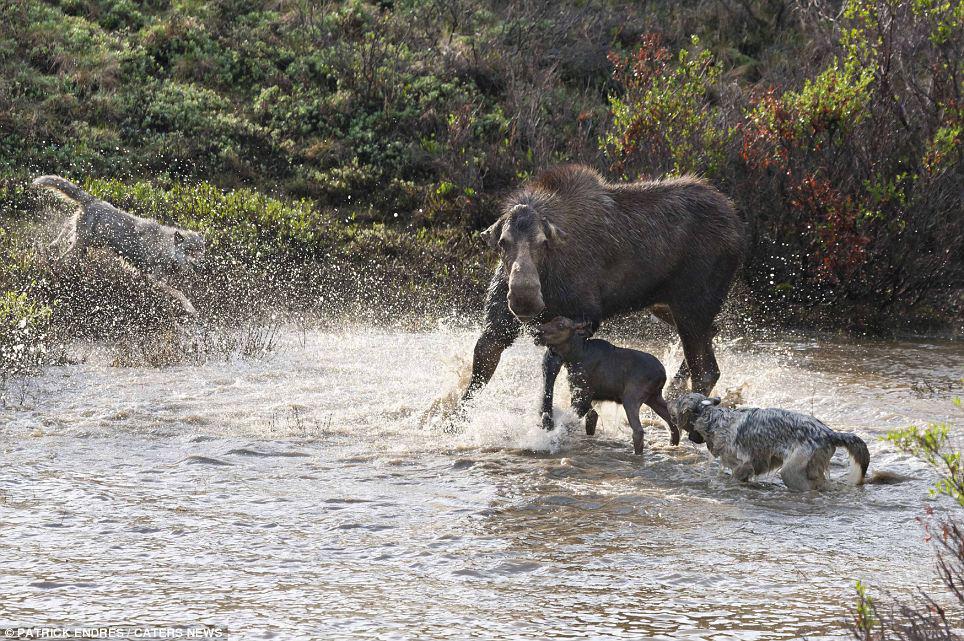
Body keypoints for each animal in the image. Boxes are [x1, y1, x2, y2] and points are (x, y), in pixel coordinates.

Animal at [464, 166, 740, 430]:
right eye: (502, 242)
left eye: (543, 242)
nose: (524, 298)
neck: (549, 273)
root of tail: (738, 225)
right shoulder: (499, 325)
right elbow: (479, 369)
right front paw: (456, 421)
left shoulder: (583, 317)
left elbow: (553, 365)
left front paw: (551, 420)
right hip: (665, 305)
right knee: (712, 338)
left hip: (692, 303)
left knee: (705, 370)